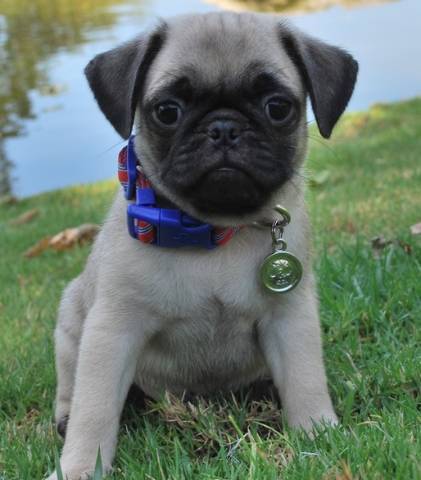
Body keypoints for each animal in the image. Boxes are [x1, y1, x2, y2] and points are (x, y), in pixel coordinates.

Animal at [47, 11, 356, 480]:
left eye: (278, 107)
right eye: (167, 111)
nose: (224, 127)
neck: (212, 229)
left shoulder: (290, 317)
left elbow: (305, 379)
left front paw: (318, 433)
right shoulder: (112, 330)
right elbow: (95, 409)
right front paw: (79, 467)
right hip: (71, 322)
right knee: (70, 384)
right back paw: (66, 416)